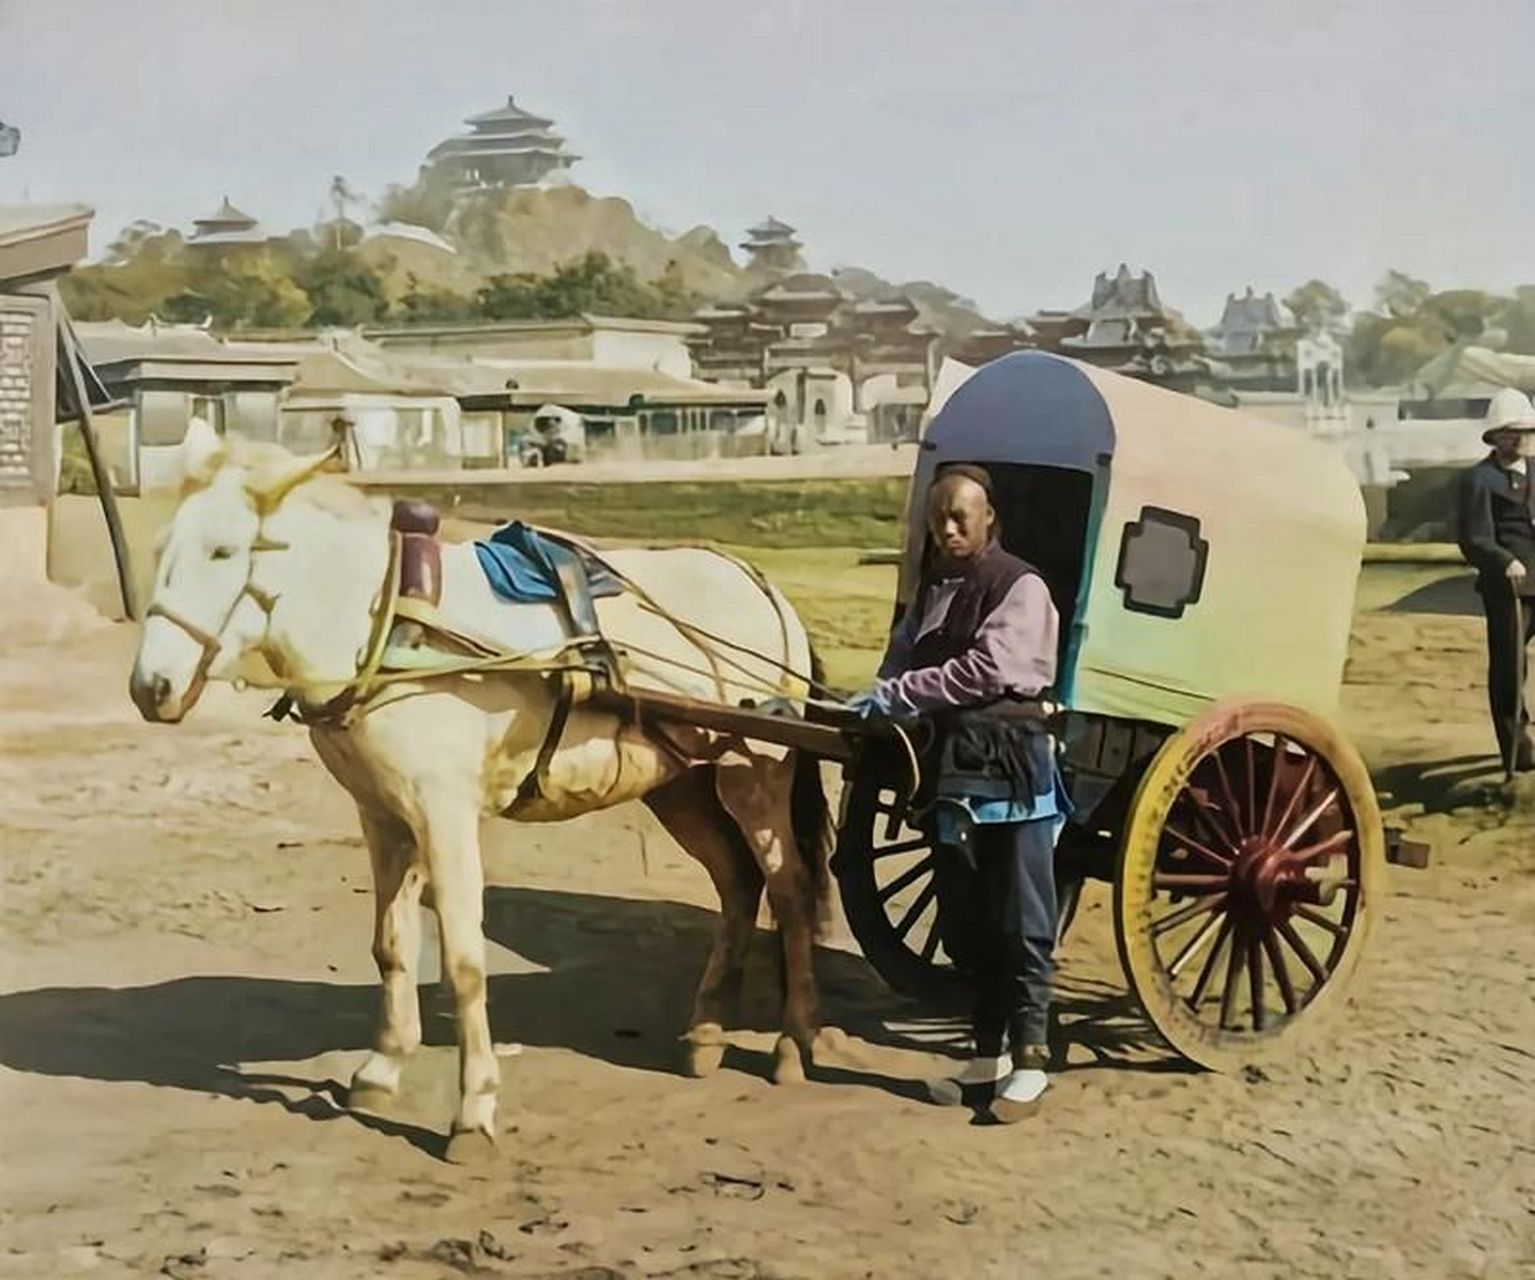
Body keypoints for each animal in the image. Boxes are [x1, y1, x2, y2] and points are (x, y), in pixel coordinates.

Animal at [125, 429, 835, 1154]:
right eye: (162, 550)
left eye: (223, 551)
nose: (151, 687)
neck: (390, 628)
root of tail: (757, 582)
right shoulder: (381, 815)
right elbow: (391, 945)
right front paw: (383, 1065)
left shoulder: (444, 816)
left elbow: (464, 961)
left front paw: (474, 1108)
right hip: (681, 784)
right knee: (737, 884)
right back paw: (708, 1031)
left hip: (756, 773)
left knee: (790, 890)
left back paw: (791, 1041)